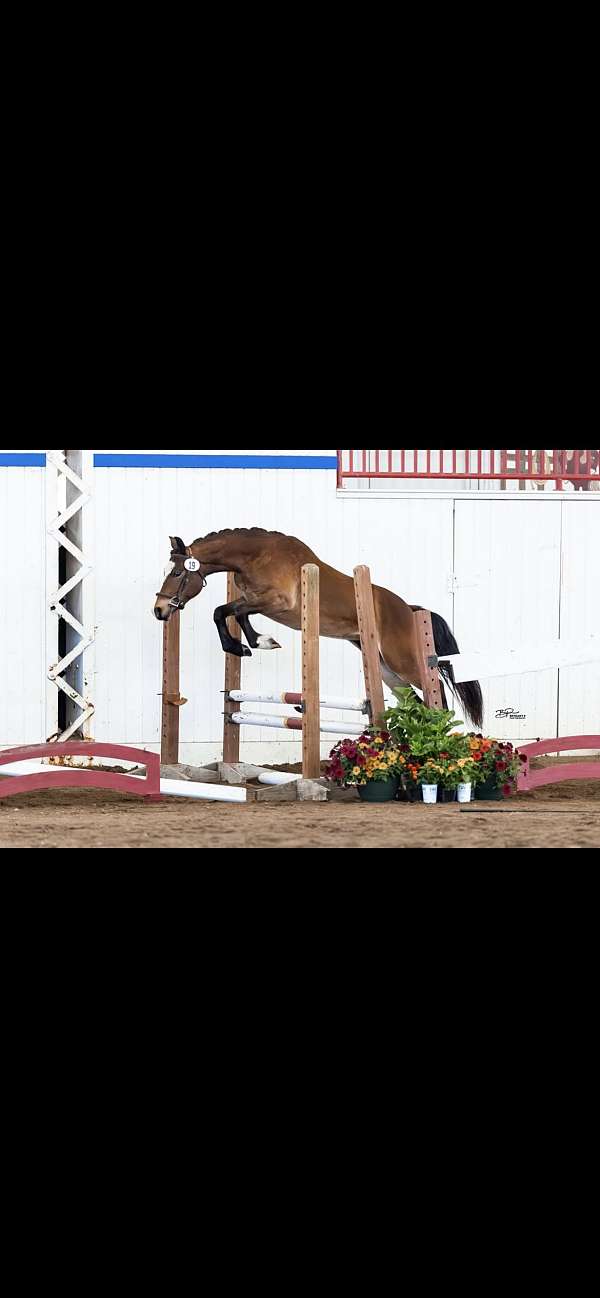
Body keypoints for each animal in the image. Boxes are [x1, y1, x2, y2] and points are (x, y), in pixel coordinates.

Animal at [154, 528, 484, 729]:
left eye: (177, 573)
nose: (159, 610)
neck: (255, 556)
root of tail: (409, 609)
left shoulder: (276, 602)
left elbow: (222, 611)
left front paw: (244, 645)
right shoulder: (254, 601)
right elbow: (233, 614)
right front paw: (255, 643)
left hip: (402, 659)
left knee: (435, 693)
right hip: (384, 668)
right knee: (413, 699)